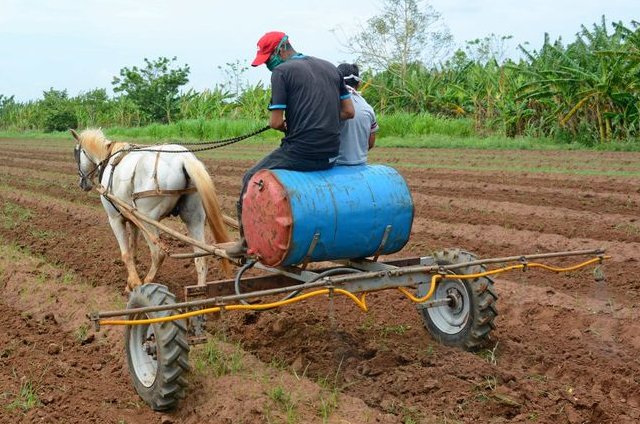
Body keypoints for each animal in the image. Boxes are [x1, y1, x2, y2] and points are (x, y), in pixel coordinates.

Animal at [71, 128, 231, 292]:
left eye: (76, 152)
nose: (82, 183)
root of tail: (183, 158)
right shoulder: (132, 219)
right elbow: (133, 249)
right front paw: (129, 283)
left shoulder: (115, 218)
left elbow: (126, 253)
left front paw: (134, 284)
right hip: (194, 218)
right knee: (200, 257)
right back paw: (199, 291)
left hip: (148, 219)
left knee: (158, 253)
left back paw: (146, 283)